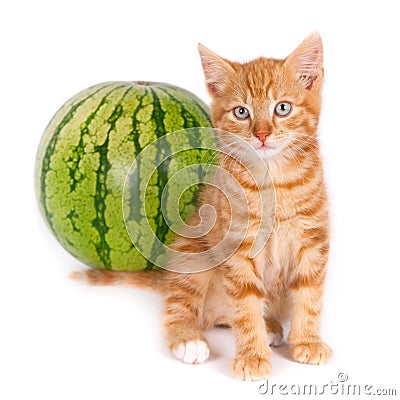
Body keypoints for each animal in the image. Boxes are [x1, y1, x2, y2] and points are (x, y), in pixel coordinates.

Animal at [72, 32, 332, 382]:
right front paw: (251, 356)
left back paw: (270, 326)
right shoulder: (237, 246)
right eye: (241, 112)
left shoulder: (313, 240)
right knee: (180, 308)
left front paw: (307, 341)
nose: (262, 134)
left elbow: (309, 294)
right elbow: (245, 304)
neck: (273, 182)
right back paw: (189, 339)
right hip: (192, 255)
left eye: (282, 108)